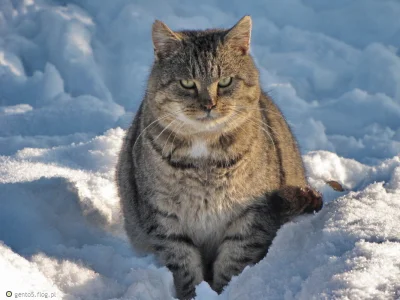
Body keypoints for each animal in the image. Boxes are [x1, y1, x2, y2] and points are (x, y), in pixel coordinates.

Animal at [115, 16, 322, 300]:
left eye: (225, 82)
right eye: (187, 84)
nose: (209, 105)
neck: (204, 153)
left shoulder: (251, 215)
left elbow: (233, 264)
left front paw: (223, 292)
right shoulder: (164, 219)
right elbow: (184, 268)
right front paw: (194, 294)